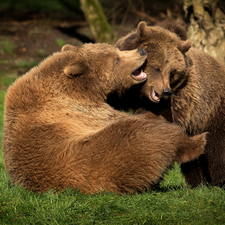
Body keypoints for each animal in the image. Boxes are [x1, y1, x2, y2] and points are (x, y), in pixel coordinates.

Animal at [3, 43, 207, 194]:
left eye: (116, 50)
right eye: (117, 59)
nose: (141, 51)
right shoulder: (83, 112)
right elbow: (123, 118)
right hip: (106, 155)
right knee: (149, 134)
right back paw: (198, 141)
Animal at [115, 22, 225, 188]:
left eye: (172, 72)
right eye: (157, 68)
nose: (166, 91)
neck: (139, 93)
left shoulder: (181, 97)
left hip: (212, 110)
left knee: (217, 147)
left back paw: (218, 181)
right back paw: (198, 183)